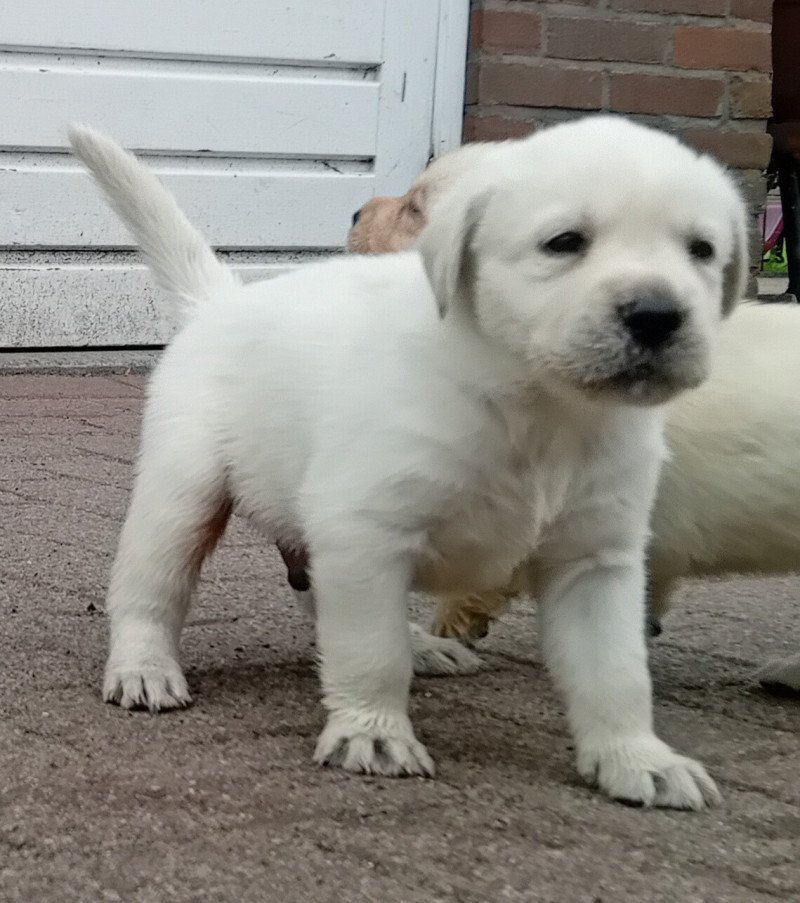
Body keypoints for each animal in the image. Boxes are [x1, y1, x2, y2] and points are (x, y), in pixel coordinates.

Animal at [72, 116, 748, 808]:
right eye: (564, 242)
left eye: (701, 250)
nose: (658, 315)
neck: (539, 410)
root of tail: (220, 301)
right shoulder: (366, 531)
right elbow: (370, 651)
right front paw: (372, 733)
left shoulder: (597, 561)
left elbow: (616, 672)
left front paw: (637, 757)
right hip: (184, 492)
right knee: (151, 589)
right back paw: (144, 667)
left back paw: (423, 646)